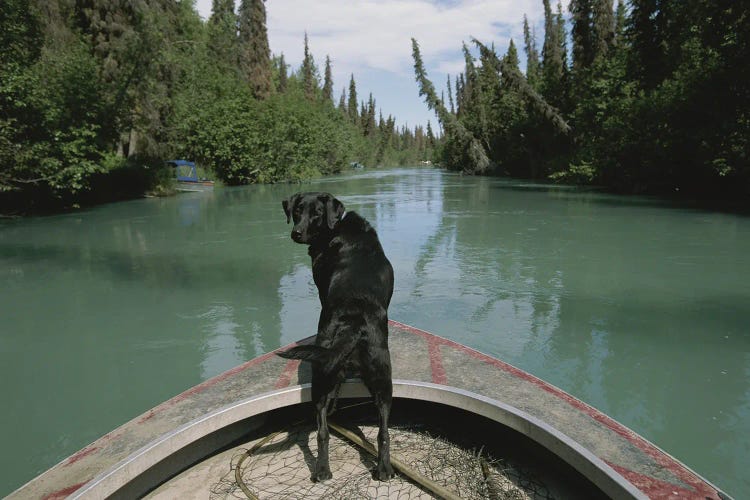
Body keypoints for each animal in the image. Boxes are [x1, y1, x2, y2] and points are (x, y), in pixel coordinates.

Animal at [280, 191, 396, 480]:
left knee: (325, 428)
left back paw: (325, 469)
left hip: (333, 375)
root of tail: (352, 324)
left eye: (316, 213)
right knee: (379, 431)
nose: (296, 232)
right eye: (297, 211)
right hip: (380, 378)